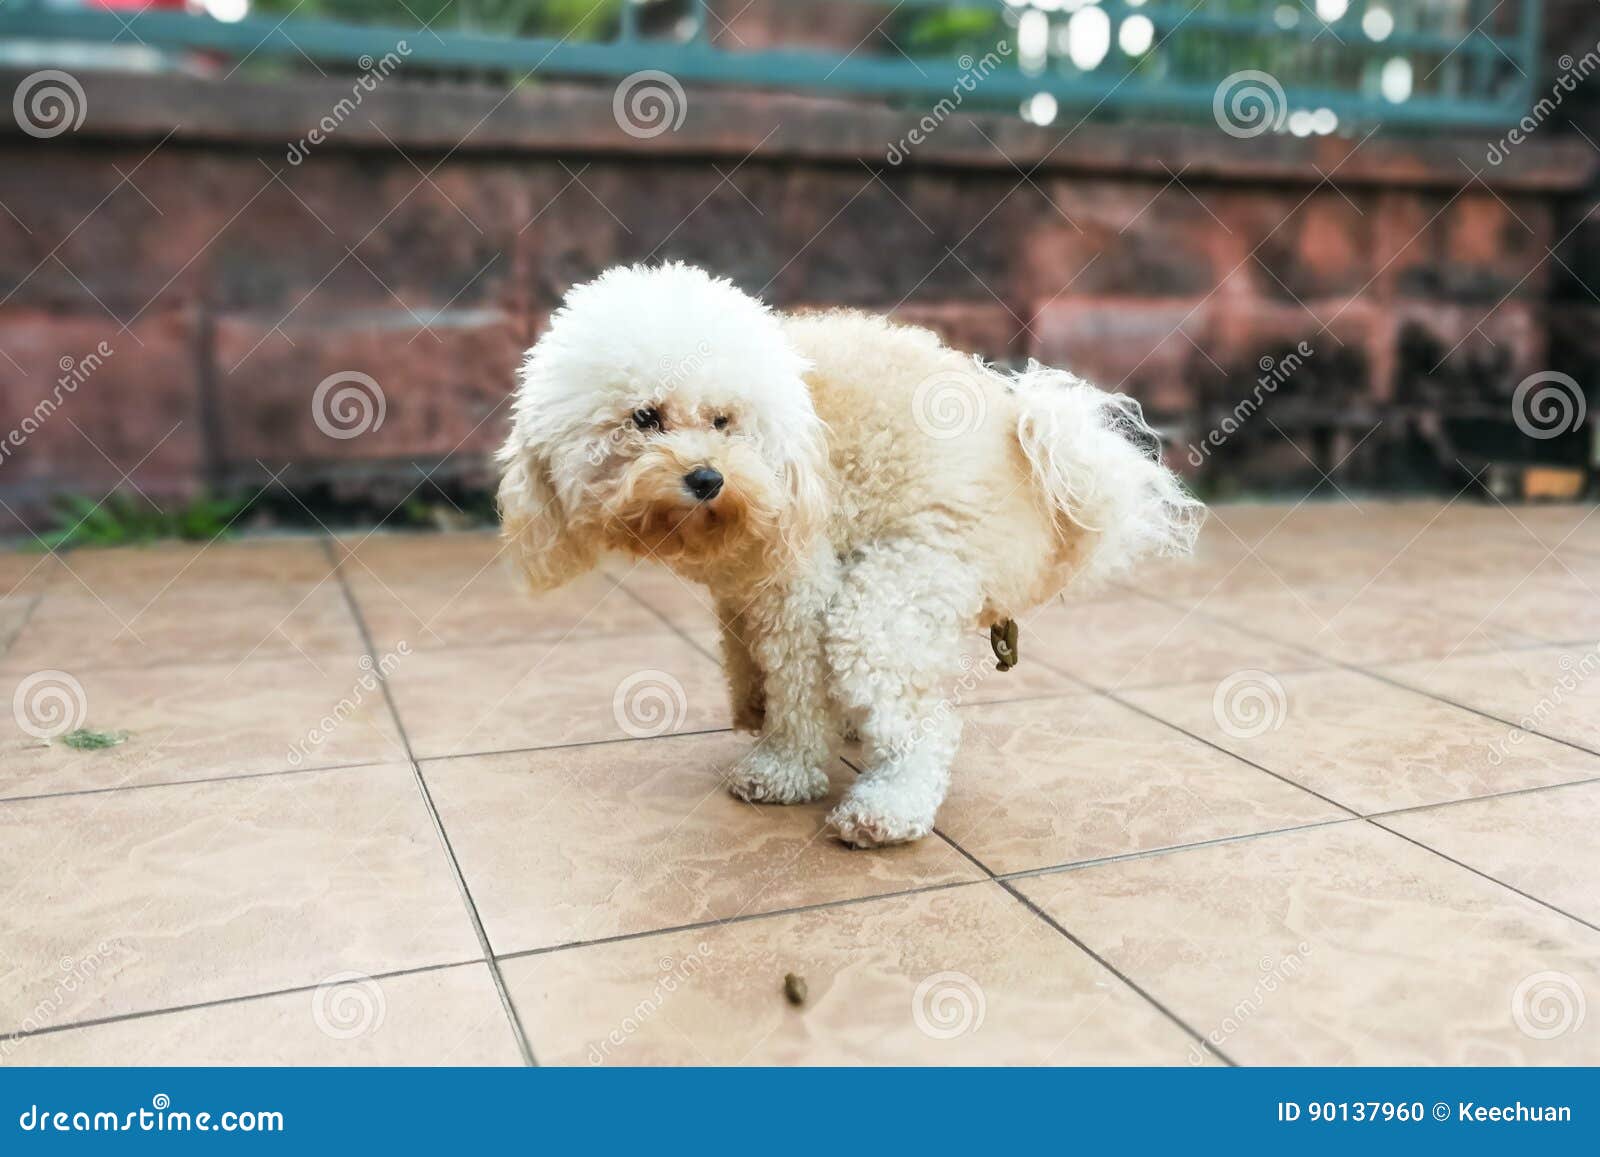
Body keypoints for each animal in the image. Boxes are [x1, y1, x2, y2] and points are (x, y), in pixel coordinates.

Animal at [499, 264, 1203, 851]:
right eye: (644, 417)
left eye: (723, 420)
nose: (707, 479)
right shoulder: (739, 592)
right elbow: (748, 661)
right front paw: (759, 707)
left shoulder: (798, 584)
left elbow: (797, 687)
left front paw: (785, 766)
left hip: (903, 584)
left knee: (924, 722)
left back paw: (886, 812)